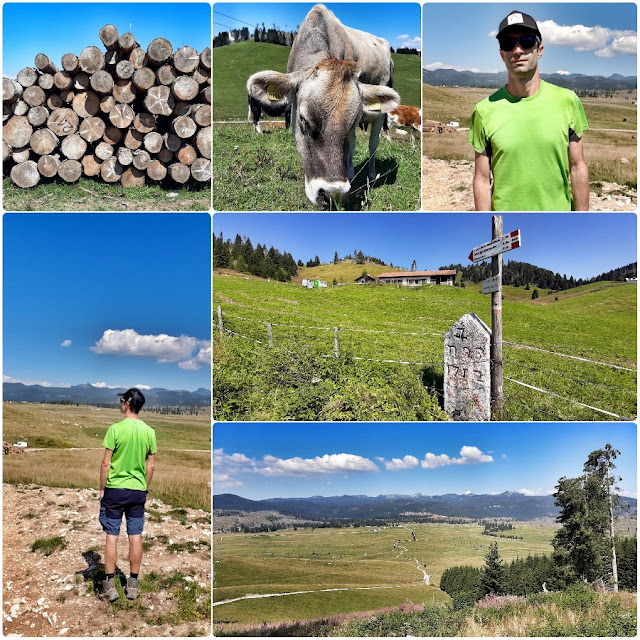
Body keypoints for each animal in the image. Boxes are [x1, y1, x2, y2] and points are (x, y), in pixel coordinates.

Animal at [248, 4, 398, 208]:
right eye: (304, 120)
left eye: (352, 122)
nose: (333, 195)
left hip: (380, 112)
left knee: (373, 142)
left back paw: (371, 173)